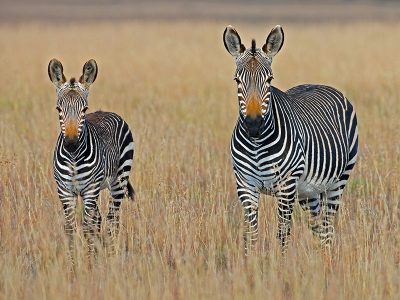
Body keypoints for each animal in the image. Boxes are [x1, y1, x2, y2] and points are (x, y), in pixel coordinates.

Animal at [47, 59, 135, 255]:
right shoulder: (65, 191)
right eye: (58, 109)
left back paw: (111, 254)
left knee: (112, 219)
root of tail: (105, 111)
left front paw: (88, 261)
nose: (71, 143)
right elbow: (71, 228)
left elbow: (87, 228)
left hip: (118, 181)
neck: (73, 158)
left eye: (84, 109)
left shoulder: (90, 190)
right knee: (100, 219)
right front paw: (73, 261)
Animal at [223, 25, 358, 253]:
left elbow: (282, 234)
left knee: (327, 228)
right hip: (308, 191)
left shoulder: (286, 187)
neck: (257, 145)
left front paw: (280, 262)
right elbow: (251, 235)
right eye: (237, 80)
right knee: (318, 227)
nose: (253, 125)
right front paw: (249, 262)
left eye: (269, 80)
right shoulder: (245, 185)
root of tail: (321, 84)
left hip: (338, 180)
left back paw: (327, 259)